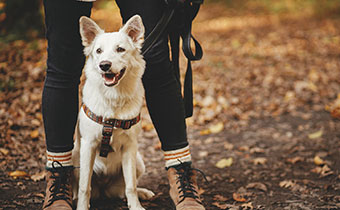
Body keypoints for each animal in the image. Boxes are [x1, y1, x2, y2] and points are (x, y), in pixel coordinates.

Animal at [73, 15, 155, 210]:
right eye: (99, 51)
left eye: (120, 49)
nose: (104, 65)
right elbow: (84, 187)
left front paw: (136, 206)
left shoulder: (130, 147)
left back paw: (142, 193)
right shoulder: (87, 146)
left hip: (139, 162)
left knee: (122, 190)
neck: (113, 98)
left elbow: (131, 185)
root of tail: (103, 189)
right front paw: (82, 206)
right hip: (73, 158)